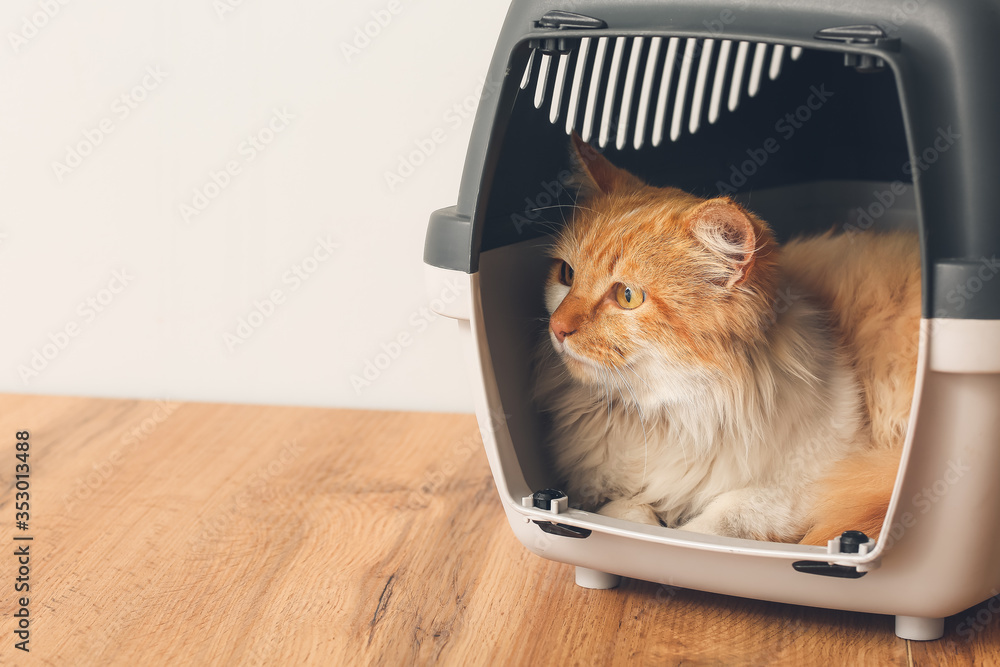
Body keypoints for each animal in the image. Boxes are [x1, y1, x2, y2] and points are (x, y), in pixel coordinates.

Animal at [536, 133, 916, 544]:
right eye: (567, 275)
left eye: (627, 296)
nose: (557, 326)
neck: (662, 418)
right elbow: (629, 510)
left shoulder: (813, 480)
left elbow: (717, 519)